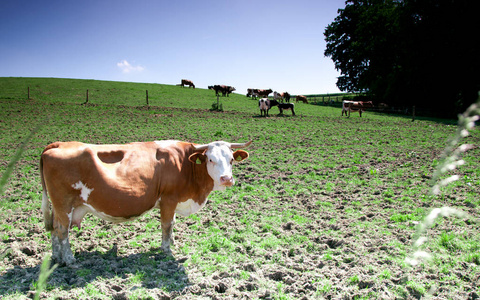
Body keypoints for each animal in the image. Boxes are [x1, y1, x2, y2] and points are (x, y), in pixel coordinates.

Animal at [40, 139, 251, 264]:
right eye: (210, 159)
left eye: (231, 160)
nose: (226, 179)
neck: (185, 164)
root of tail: (59, 144)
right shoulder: (168, 199)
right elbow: (167, 224)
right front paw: (166, 250)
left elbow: (172, 224)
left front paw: (172, 242)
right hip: (63, 203)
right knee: (62, 230)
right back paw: (69, 260)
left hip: (62, 207)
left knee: (55, 229)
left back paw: (56, 257)